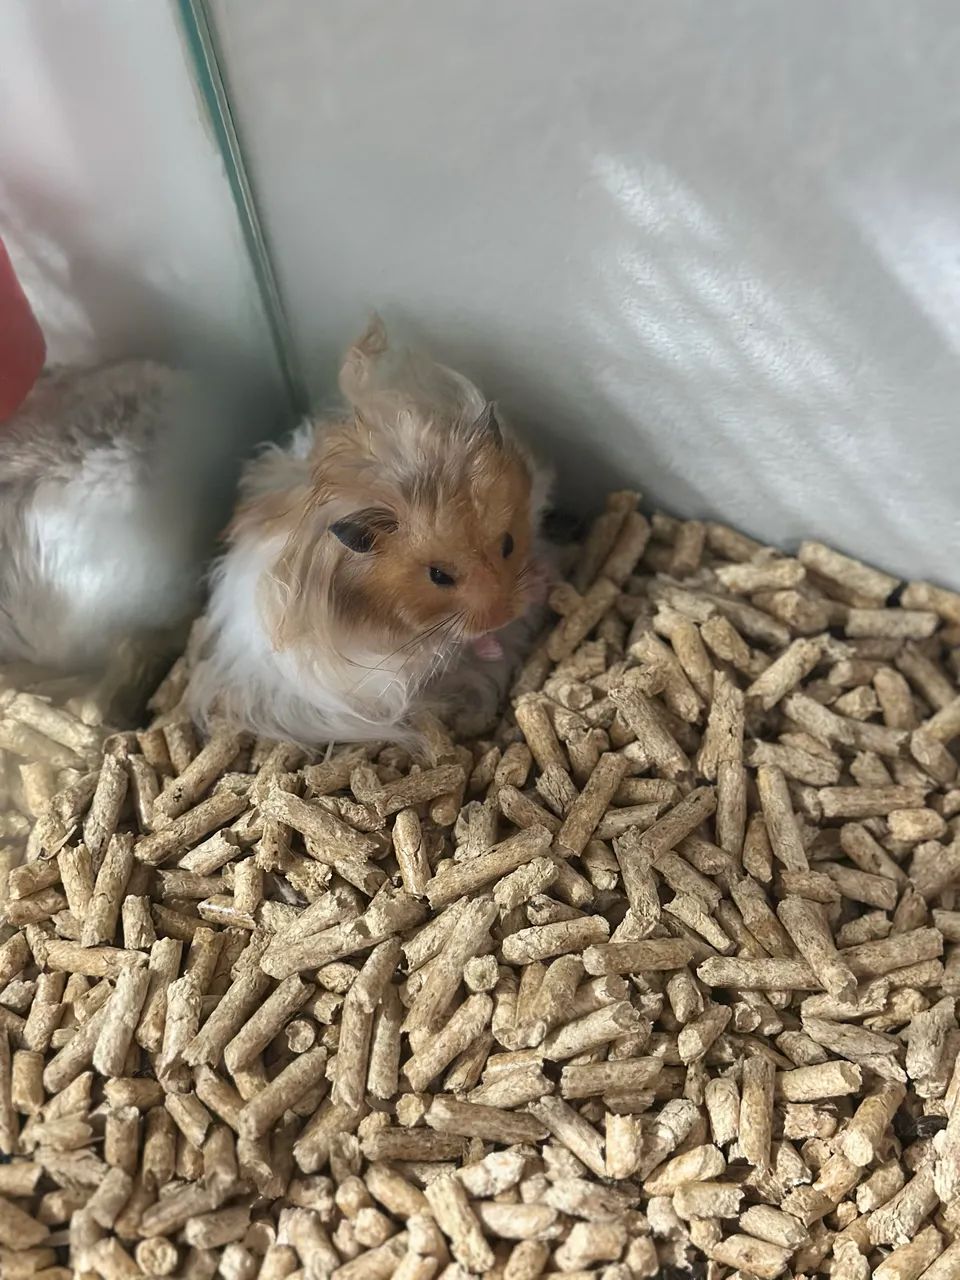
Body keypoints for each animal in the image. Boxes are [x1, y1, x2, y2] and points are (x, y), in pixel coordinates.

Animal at [188, 319, 553, 745]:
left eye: (508, 544)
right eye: (438, 576)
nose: (504, 617)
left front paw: (537, 584)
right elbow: (443, 647)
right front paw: (488, 642)